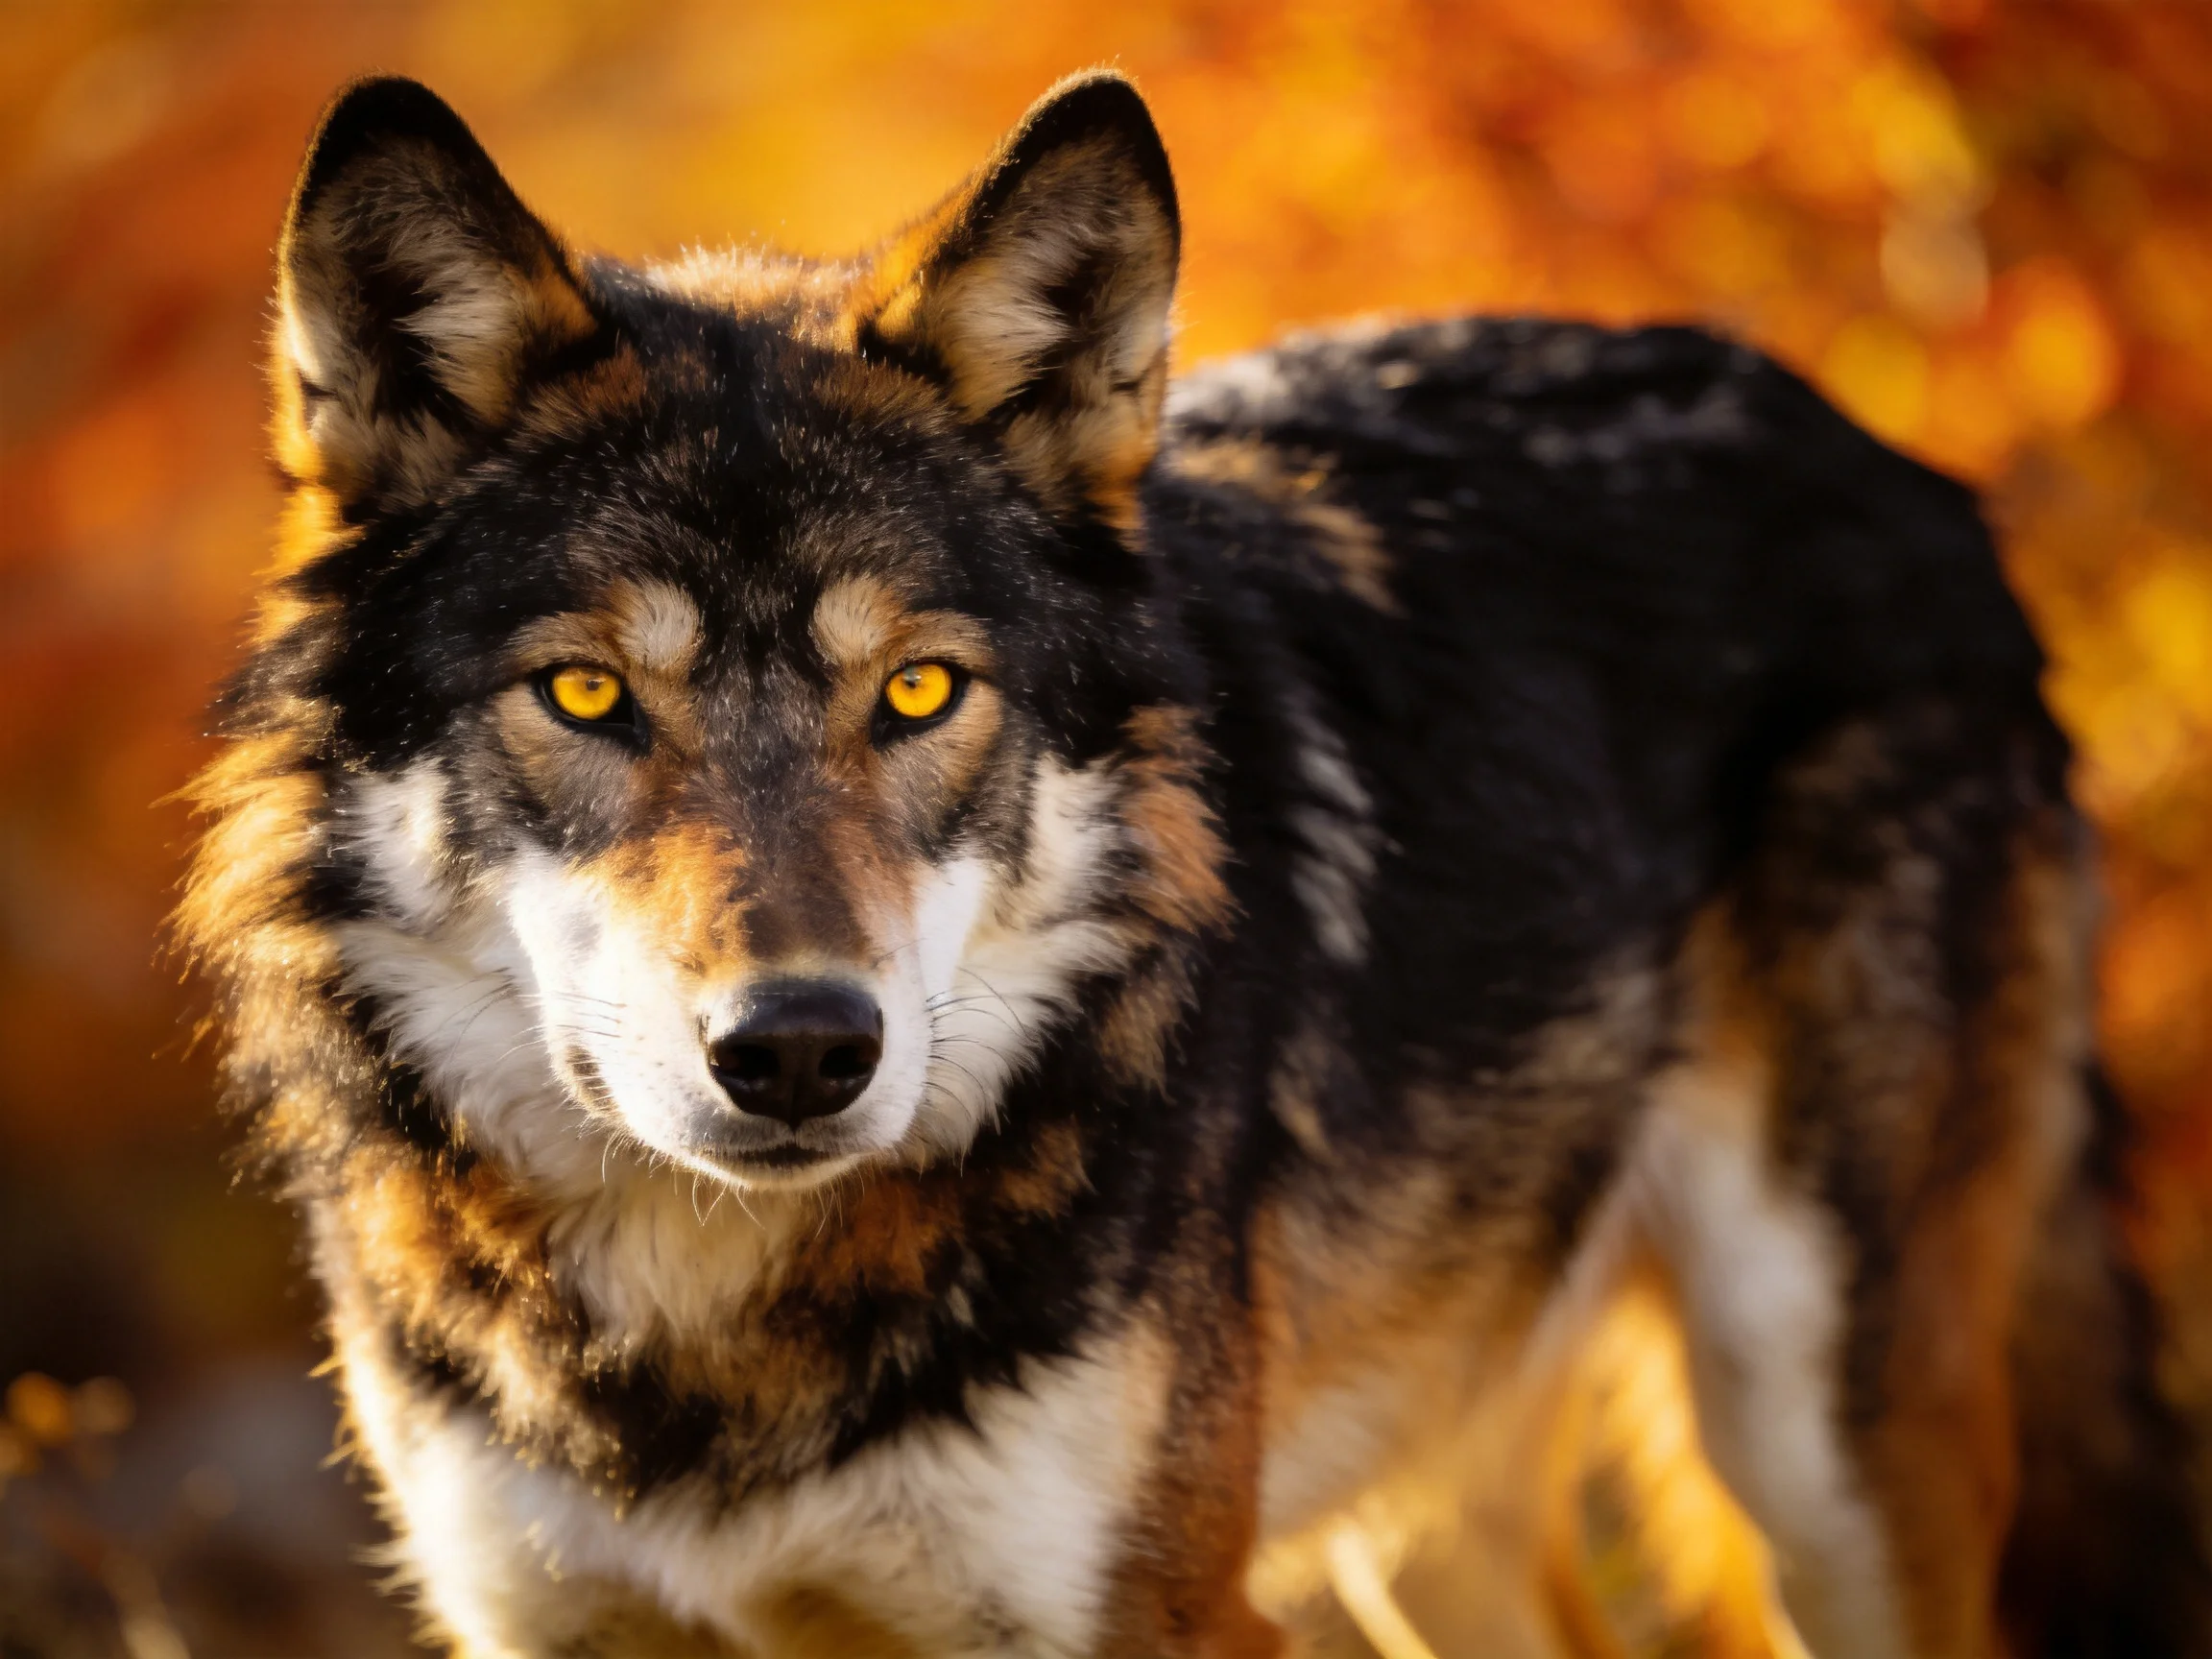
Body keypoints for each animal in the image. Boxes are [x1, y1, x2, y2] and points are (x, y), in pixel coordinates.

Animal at [178, 69, 2206, 1658]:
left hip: (1818, 1438)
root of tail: (1905, 465)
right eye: (589, 690)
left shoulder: (1158, 1610)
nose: (799, 1050)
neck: (716, 1332)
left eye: (919, 688)